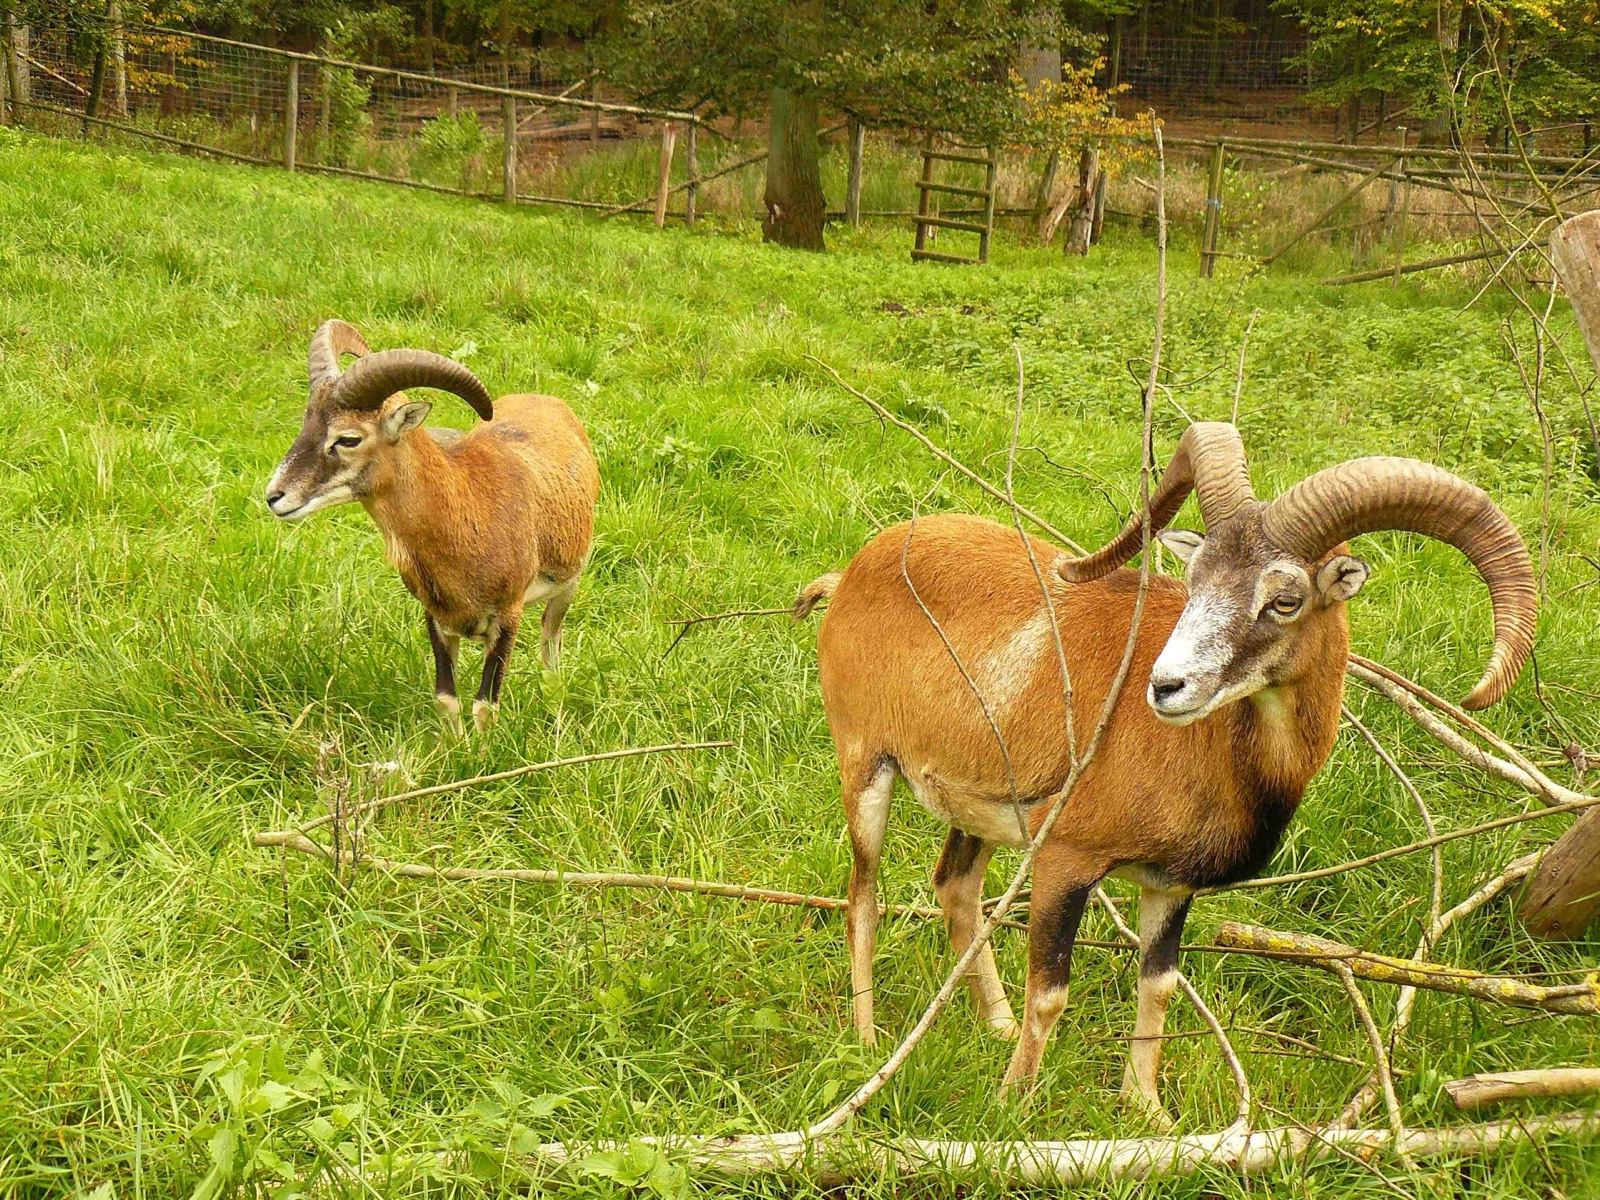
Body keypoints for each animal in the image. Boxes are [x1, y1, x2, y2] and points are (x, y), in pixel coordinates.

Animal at [266, 319, 599, 733]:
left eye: (349, 438)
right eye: (306, 422)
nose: (274, 496)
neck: (467, 512)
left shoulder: (508, 615)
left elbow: (484, 705)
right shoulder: (436, 618)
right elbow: (446, 699)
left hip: (566, 587)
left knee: (550, 643)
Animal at [794, 422, 1536, 1122]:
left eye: (1285, 600)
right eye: (1196, 579)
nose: (1167, 686)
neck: (1220, 762)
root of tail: (853, 572)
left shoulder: (1170, 887)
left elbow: (1157, 986)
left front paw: (1147, 1109)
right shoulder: (1066, 861)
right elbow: (1051, 992)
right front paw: (1012, 1104)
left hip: (977, 811)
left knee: (954, 887)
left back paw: (994, 1027)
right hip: (865, 767)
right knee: (862, 896)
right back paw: (866, 1040)